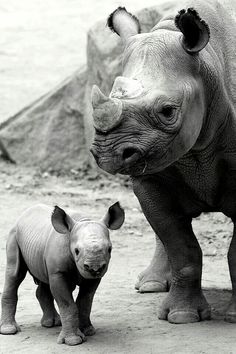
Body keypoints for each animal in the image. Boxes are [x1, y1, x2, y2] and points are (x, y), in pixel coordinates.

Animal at [0, 202, 125, 346]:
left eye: (110, 249)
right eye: (76, 251)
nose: (94, 268)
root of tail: (22, 216)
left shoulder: (93, 278)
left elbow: (85, 301)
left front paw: (88, 331)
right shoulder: (58, 273)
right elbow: (67, 304)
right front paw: (73, 341)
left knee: (44, 280)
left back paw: (53, 323)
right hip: (14, 234)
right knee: (15, 274)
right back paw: (9, 330)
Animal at [90, 0, 236, 324]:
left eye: (168, 111)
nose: (108, 153)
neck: (206, 65)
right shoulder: (150, 174)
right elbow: (180, 244)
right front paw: (182, 316)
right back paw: (151, 285)